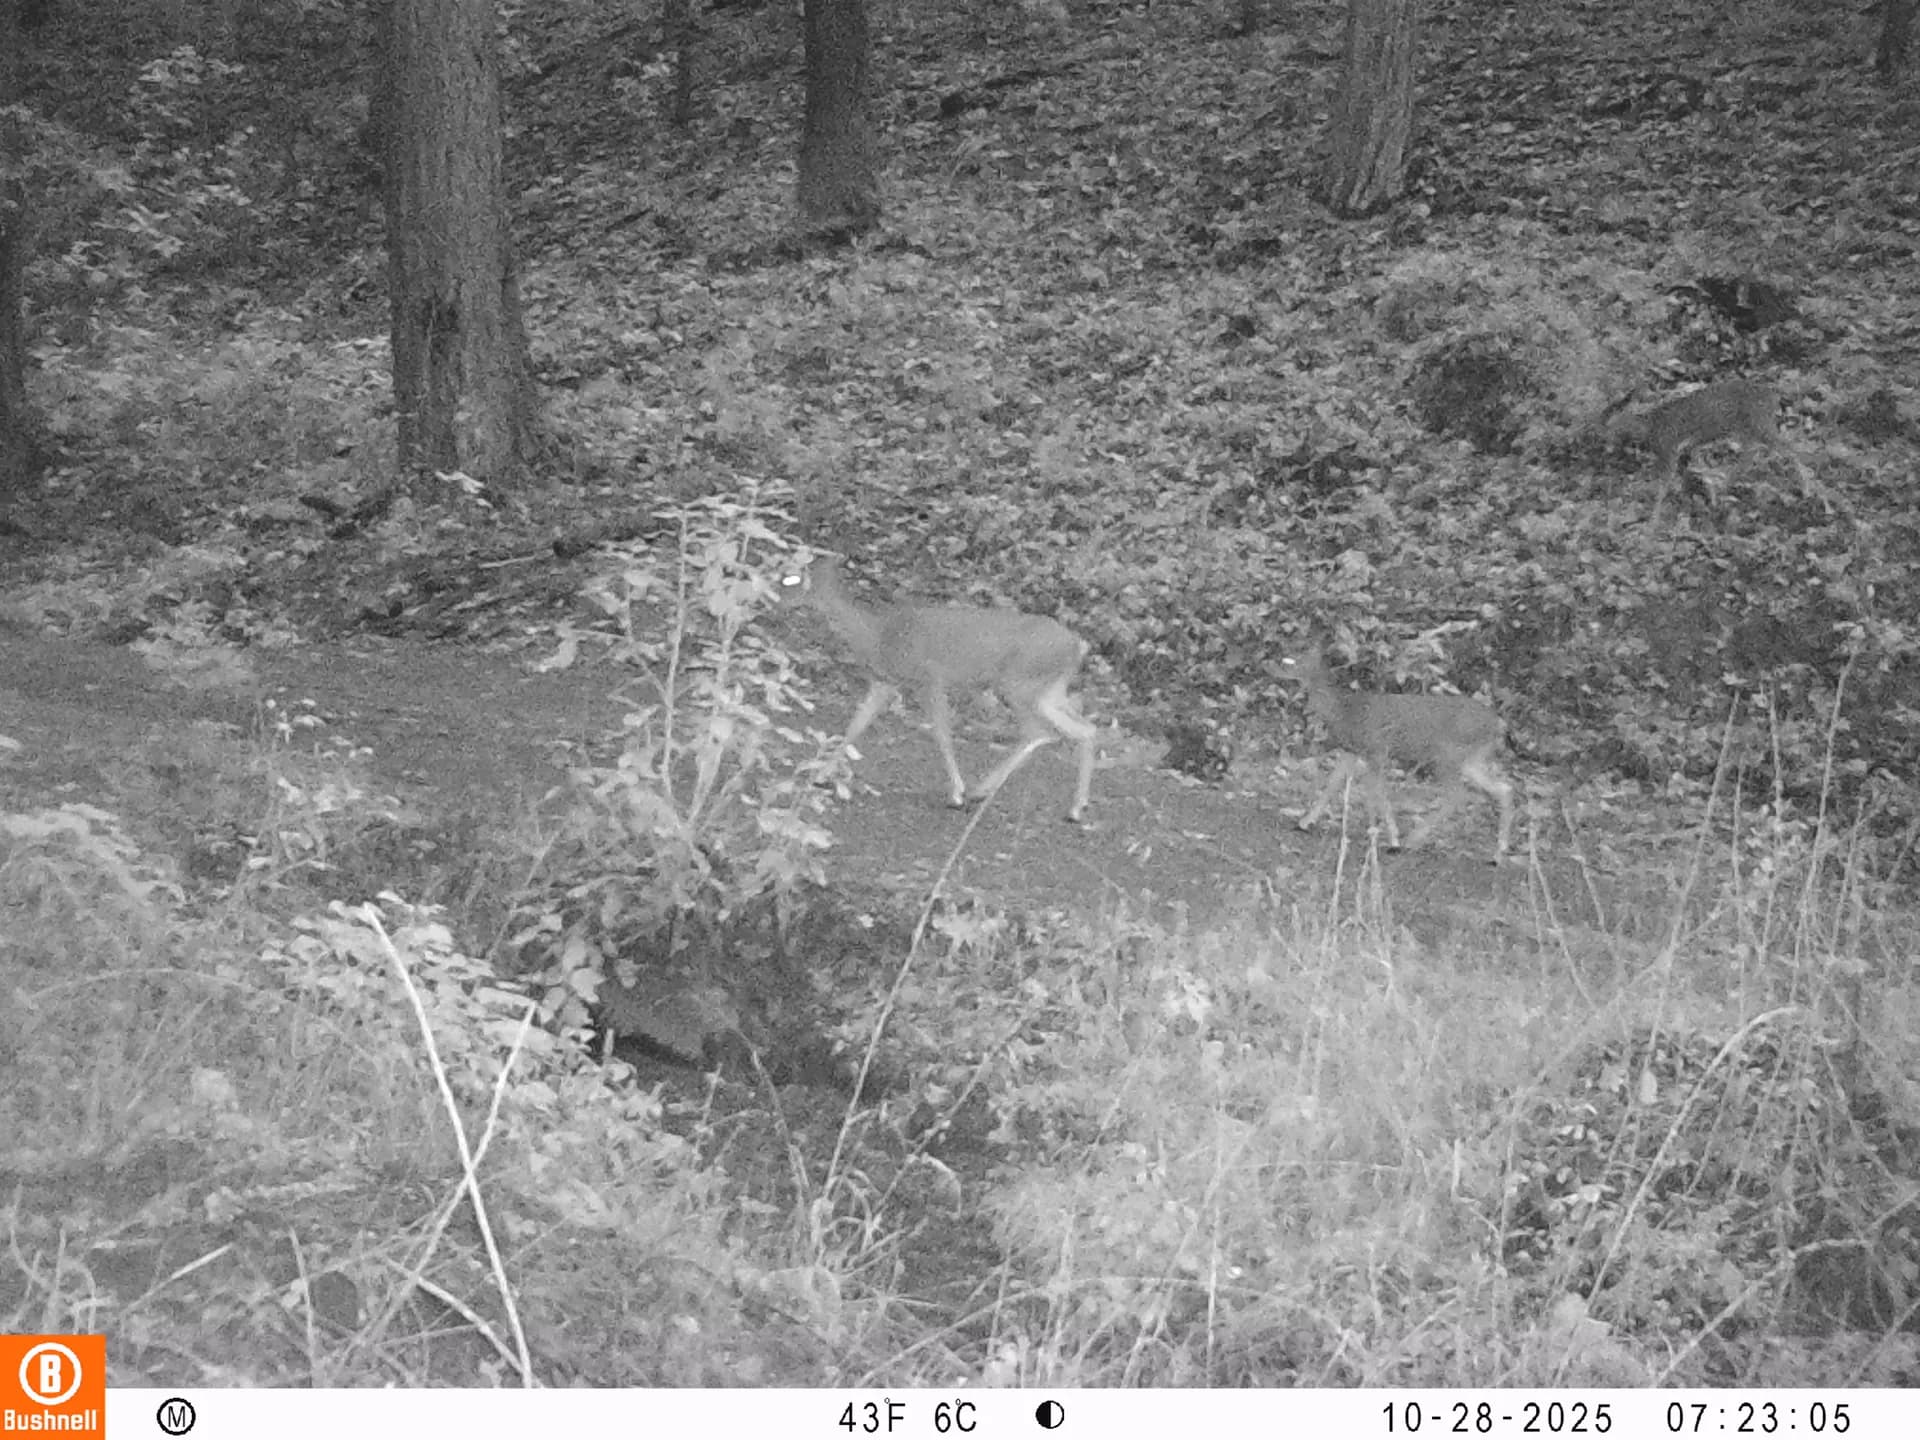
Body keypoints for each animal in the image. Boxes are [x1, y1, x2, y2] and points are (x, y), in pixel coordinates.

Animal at [777, 553, 1098, 823]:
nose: (775, 599)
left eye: (790, 578)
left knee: (1042, 731)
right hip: (1050, 690)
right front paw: (820, 776)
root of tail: (1079, 645)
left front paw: (956, 793)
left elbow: (942, 734)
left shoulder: (930, 678)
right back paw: (1070, 805)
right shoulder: (885, 682)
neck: (877, 635)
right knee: (1085, 728)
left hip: (1022, 685)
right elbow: (855, 725)